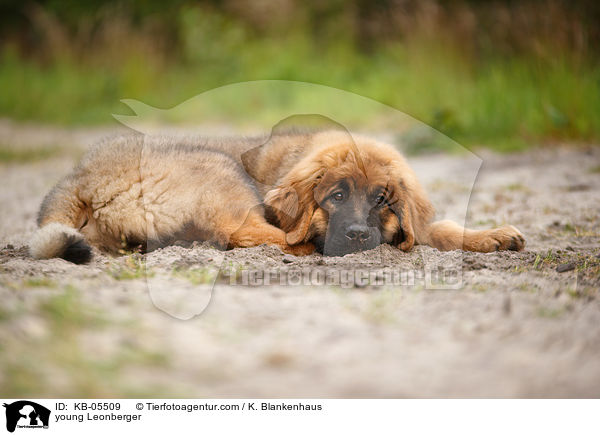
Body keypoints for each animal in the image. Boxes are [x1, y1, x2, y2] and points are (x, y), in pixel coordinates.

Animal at [30, 121, 524, 262]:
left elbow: (434, 229)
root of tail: (77, 177)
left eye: (382, 201)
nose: (358, 236)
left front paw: (491, 236)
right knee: (242, 233)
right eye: (335, 198)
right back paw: (304, 247)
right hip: (220, 169)